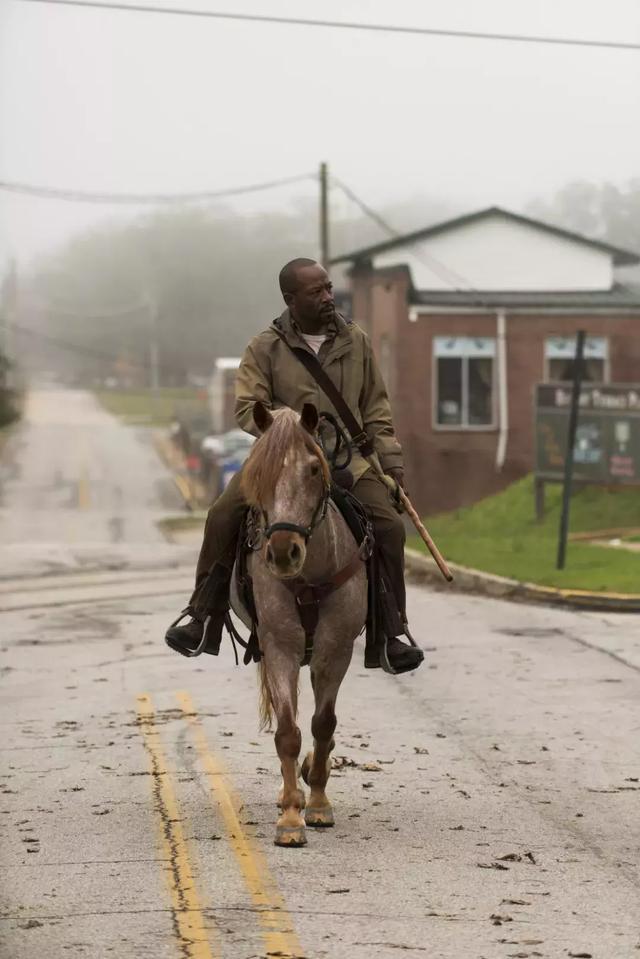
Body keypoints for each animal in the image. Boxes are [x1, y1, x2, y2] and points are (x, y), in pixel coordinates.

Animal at [240, 404, 368, 848]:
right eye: (257, 470)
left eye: (314, 469)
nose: (282, 552)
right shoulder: (280, 646)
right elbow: (287, 732)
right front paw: (291, 818)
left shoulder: (335, 650)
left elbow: (323, 724)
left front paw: (317, 803)